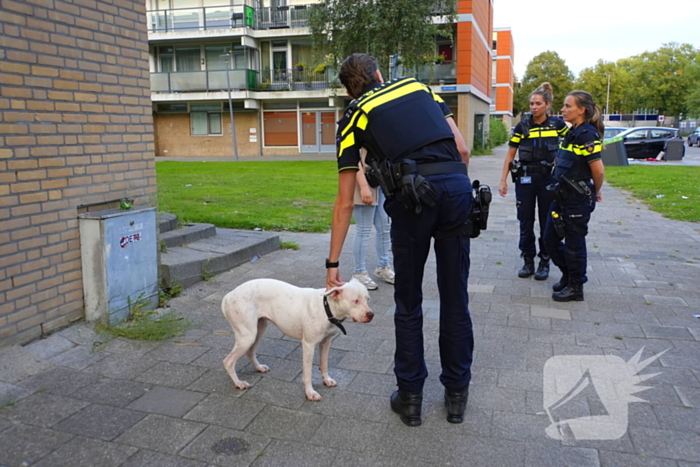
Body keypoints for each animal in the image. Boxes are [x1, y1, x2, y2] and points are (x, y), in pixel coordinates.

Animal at [221, 278, 374, 402]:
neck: (327, 308)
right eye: (355, 301)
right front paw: (310, 393)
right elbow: (308, 373)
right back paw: (239, 383)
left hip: (259, 329)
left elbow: (324, 364)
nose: (371, 314)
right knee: (228, 361)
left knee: (250, 351)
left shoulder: (326, 342)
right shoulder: (308, 345)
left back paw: (259, 367)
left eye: (367, 299)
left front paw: (327, 380)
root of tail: (228, 295)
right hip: (247, 336)